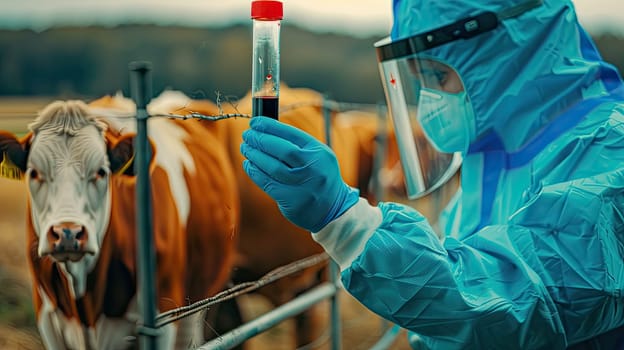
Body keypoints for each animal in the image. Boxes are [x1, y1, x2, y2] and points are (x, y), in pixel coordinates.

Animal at [0, 95, 239, 348]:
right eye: (33, 173)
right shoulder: (47, 319)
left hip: (195, 306)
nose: (67, 233)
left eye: (101, 172)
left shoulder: (164, 317)